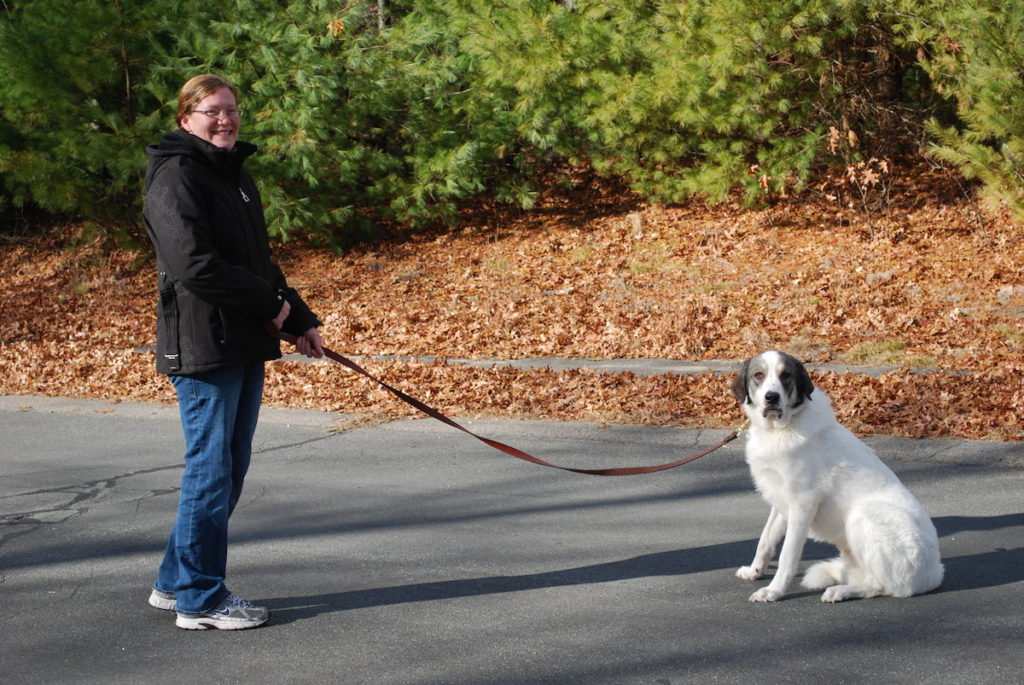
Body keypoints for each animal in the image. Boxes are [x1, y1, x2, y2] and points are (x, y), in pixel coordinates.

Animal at [729, 350, 942, 602]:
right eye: (758, 375)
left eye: (786, 376)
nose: (771, 397)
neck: (780, 428)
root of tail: (935, 572)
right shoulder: (781, 502)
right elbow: (765, 541)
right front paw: (754, 572)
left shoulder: (803, 505)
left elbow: (787, 556)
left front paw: (774, 591)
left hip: (862, 516)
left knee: (881, 586)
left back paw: (840, 591)